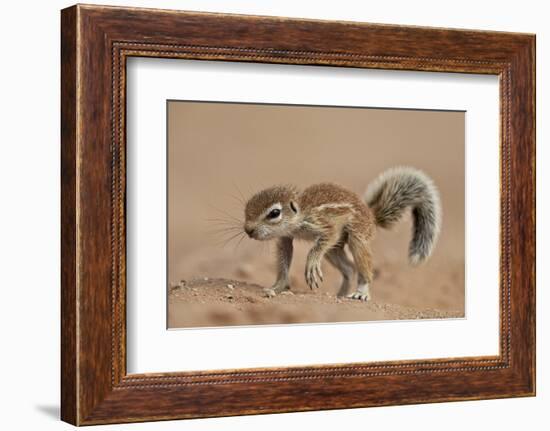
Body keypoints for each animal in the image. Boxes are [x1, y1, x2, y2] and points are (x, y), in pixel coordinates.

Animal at [244, 167, 442, 302]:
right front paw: (278, 286)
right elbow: (284, 258)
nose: (248, 230)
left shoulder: (323, 225)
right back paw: (340, 295)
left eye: (274, 213)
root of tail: (372, 217)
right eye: (246, 207)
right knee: (349, 269)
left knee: (362, 267)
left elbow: (320, 242)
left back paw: (361, 292)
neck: (301, 212)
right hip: (335, 249)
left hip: (357, 236)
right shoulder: (286, 238)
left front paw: (312, 264)